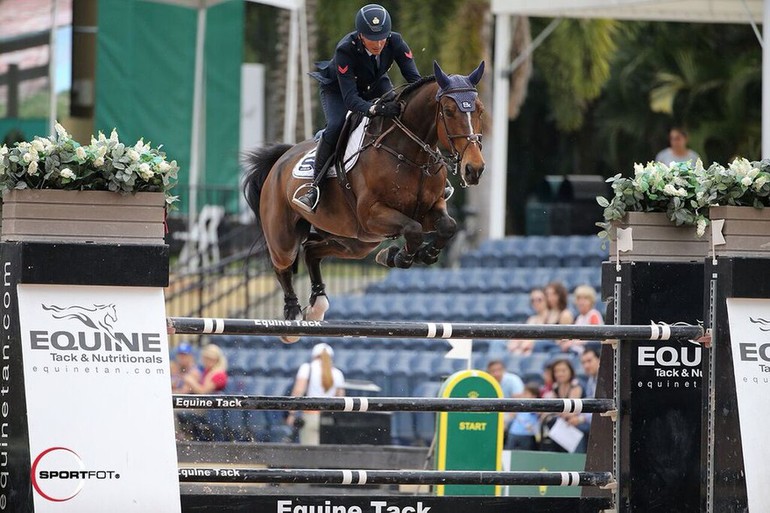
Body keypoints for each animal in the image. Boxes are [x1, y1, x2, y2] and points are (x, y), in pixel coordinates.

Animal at [243, 60, 484, 340]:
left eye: (479, 110)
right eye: (448, 111)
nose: (474, 169)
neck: (409, 153)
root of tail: (280, 160)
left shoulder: (431, 210)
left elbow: (448, 226)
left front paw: (421, 254)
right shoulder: (372, 214)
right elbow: (412, 230)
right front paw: (399, 257)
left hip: (356, 242)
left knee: (312, 250)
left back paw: (317, 305)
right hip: (286, 236)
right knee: (283, 264)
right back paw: (293, 316)